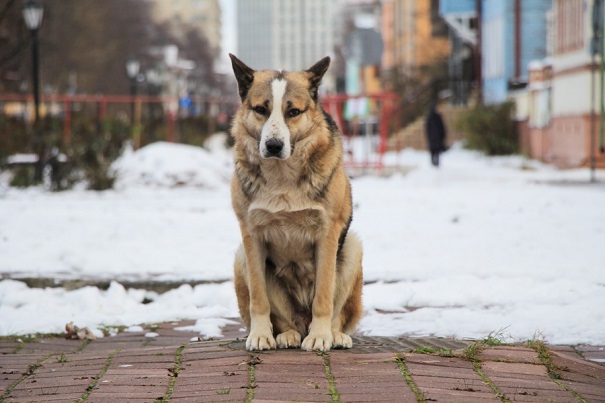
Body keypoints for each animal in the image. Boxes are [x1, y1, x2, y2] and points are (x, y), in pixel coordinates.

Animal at [230, 54, 364, 354]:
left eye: (293, 112)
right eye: (261, 109)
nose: (273, 145)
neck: (282, 177)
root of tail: (302, 323)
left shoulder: (327, 234)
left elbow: (323, 297)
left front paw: (321, 336)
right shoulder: (250, 235)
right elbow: (259, 299)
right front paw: (260, 335)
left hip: (352, 247)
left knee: (336, 314)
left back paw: (333, 335)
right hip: (241, 255)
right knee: (284, 320)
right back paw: (287, 334)